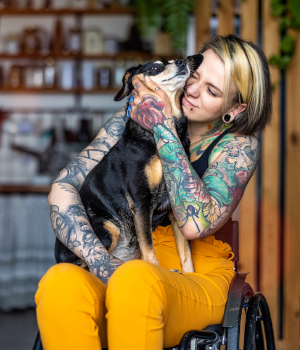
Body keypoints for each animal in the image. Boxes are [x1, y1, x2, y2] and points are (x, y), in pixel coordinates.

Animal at [54, 54, 203, 274]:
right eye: (156, 67)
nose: (182, 61)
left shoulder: (177, 210)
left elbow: (186, 253)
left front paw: (189, 275)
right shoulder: (142, 201)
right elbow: (149, 249)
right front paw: (156, 270)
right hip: (107, 228)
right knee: (89, 266)